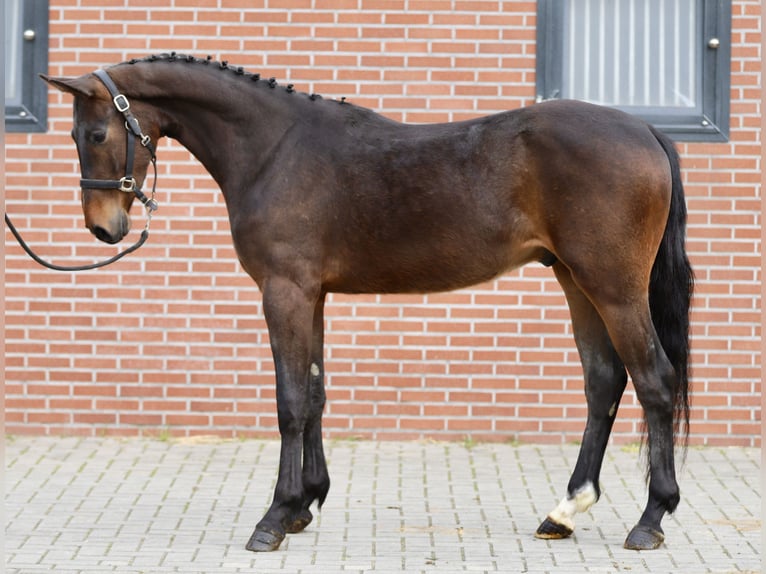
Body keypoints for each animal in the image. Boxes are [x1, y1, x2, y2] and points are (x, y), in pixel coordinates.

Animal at [41, 53, 693, 553]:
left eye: (96, 134)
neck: (273, 150)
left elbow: (289, 402)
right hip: (576, 283)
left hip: (614, 288)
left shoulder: (285, 291)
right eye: (73, 136)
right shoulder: (312, 296)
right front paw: (304, 505)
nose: (104, 228)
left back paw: (650, 520)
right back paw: (564, 511)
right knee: (604, 383)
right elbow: (314, 394)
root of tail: (646, 132)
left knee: (654, 381)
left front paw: (274, 517)